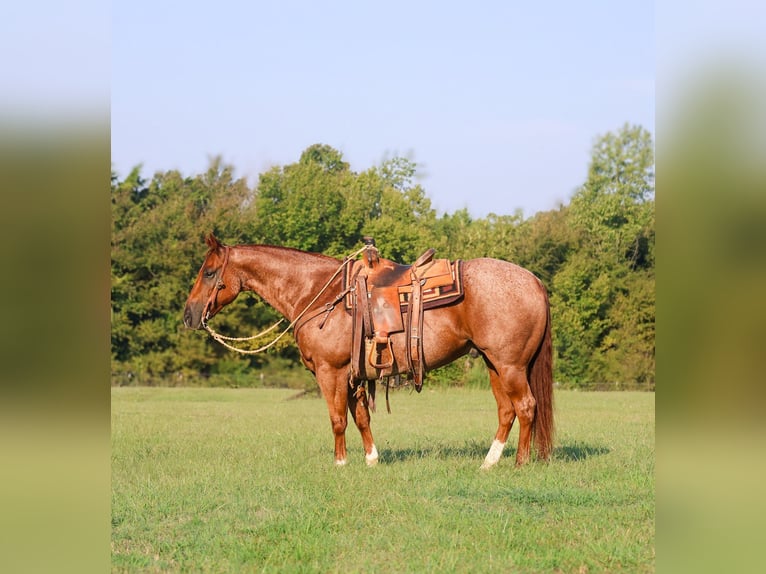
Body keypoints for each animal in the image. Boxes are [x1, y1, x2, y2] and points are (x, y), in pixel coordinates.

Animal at [183, 234, 554, 469]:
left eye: (210, 272)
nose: (189, 315)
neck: (318, 293)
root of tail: (534, 281)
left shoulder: (330, 371)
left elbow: (337, 419)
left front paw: (340, 462)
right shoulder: (354, 373)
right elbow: (360, 416)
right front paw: (371, 459)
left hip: (509, 365)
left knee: (525, 407)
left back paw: (520, 463)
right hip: (494, 364)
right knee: (507, 411)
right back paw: (489, 463)